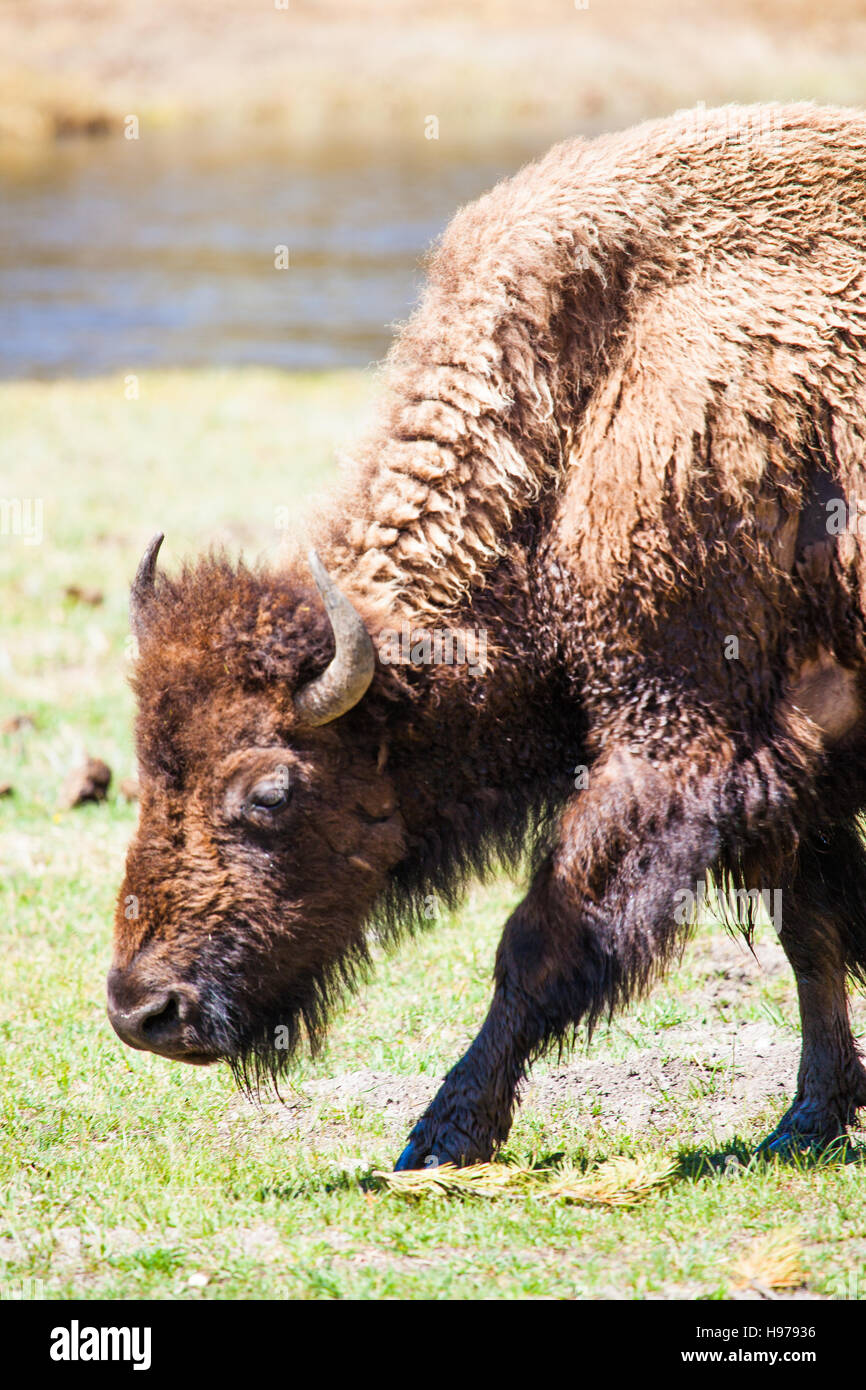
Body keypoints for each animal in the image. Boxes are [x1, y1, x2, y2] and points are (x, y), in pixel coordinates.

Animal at [108, 102, 866, 1162]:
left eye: (269, 791)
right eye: (143, 768)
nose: (144, 1012)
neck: (576, 411)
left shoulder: (684, 739)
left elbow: (543, 942)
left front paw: (441, 1134)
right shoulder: (801, 768)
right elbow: (815, 929)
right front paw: (809, 1119)